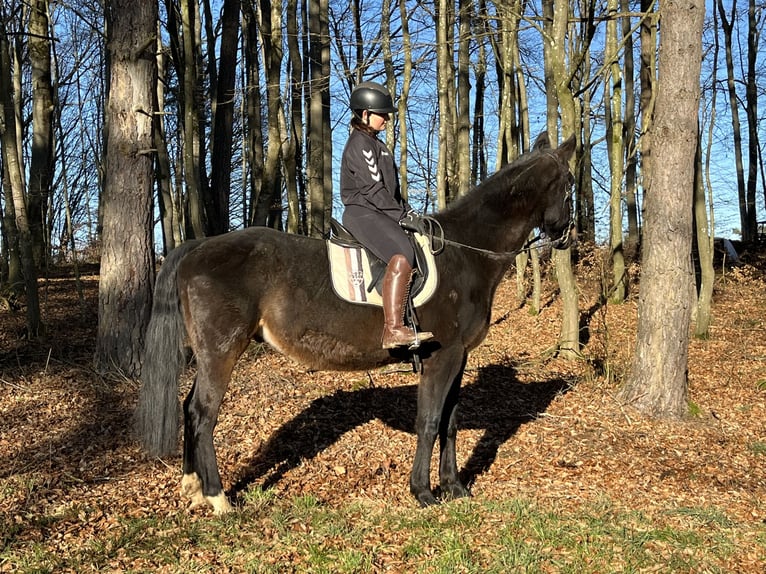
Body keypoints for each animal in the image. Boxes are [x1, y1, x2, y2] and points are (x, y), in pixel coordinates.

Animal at [136, 133, 576, 514]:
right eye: (570, 184)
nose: (568, 236)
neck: (465, 253)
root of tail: (197, 247)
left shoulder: (459, 356)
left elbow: (450, 422)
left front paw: (455, 487)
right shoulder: (442, 356)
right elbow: (429, 422)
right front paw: (423, 492)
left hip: (208, 353)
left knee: (189, 406)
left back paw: (193, 488)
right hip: (222, 350)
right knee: (203, 413)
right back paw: (218, 498)